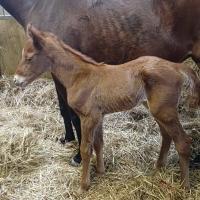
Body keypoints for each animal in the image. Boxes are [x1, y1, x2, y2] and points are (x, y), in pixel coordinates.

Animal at [14, 25, 200, 192]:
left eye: (29, 58)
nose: (16, 81)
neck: (80, 76)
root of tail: (176, 66)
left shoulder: (88, 117)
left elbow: (86, 148)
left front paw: (83, 186)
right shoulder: (98, 116)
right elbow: (99, 143)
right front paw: (101, 171)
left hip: (164, 111)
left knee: (183, 142)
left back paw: (184, 186)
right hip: (155, 108)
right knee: (167, 136)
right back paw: (159, 167)